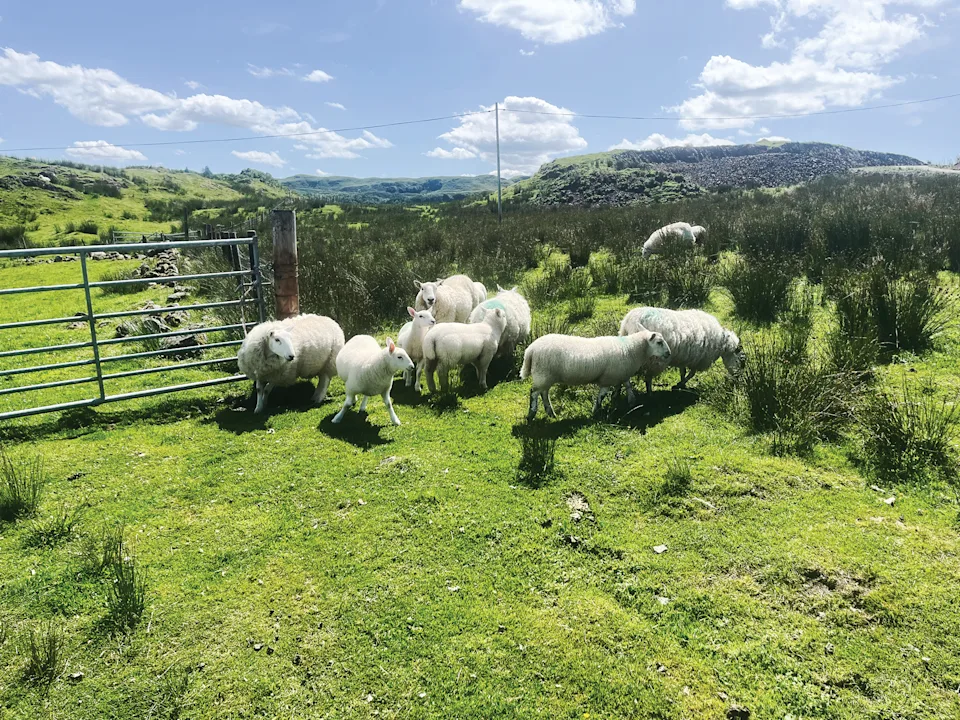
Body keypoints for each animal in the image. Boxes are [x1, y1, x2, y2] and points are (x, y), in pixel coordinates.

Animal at [521, 331, 672, 420]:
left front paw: (630, 401)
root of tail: (530, 349)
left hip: (545, 376)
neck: (630, 348)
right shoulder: (608, 378)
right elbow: (602, 396)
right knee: (534, 392)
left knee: (543, 393)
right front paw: (595, 411)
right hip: (543, 374)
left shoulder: (621, 373)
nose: (669, 353)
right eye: (659, 342)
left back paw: (550, 412)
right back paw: (531, 414)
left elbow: (626, 385)